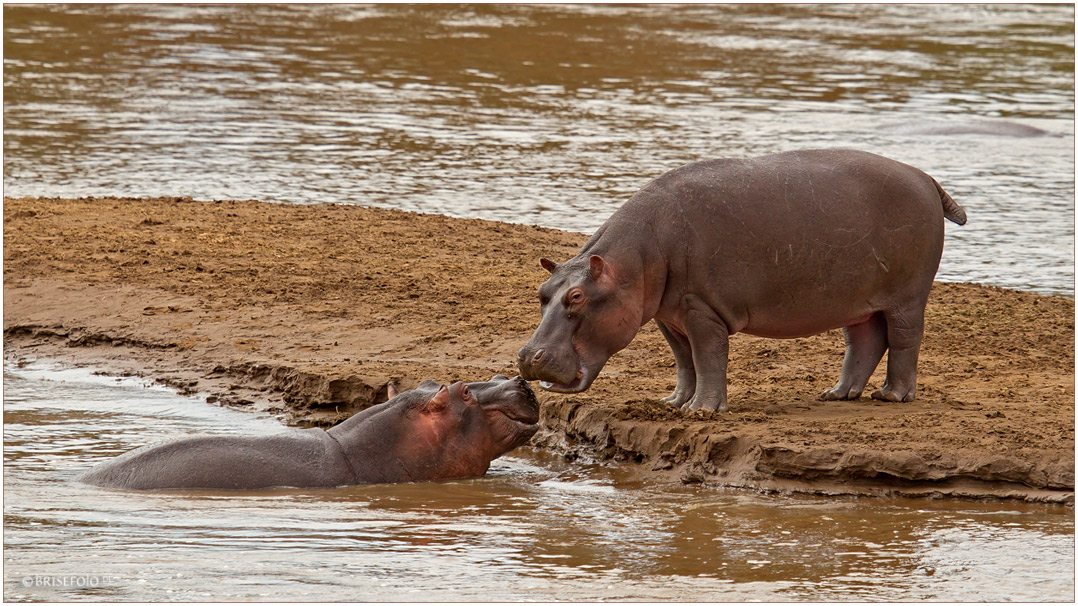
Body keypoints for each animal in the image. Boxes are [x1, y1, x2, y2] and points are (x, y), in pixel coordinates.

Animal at [517, 147, 965, 409]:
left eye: (577, 297)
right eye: (543, 292)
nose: (527, 356)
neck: (635, 259)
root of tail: (925, 176)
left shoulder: (701, 310)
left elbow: (708, 356)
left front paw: (702, 410)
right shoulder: (667, 315)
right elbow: (684, 360)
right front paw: (673, 402)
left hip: (906, 298)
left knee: (904, 340)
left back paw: (892, 395)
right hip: (856, 300)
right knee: (865, 341)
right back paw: (837, 393)